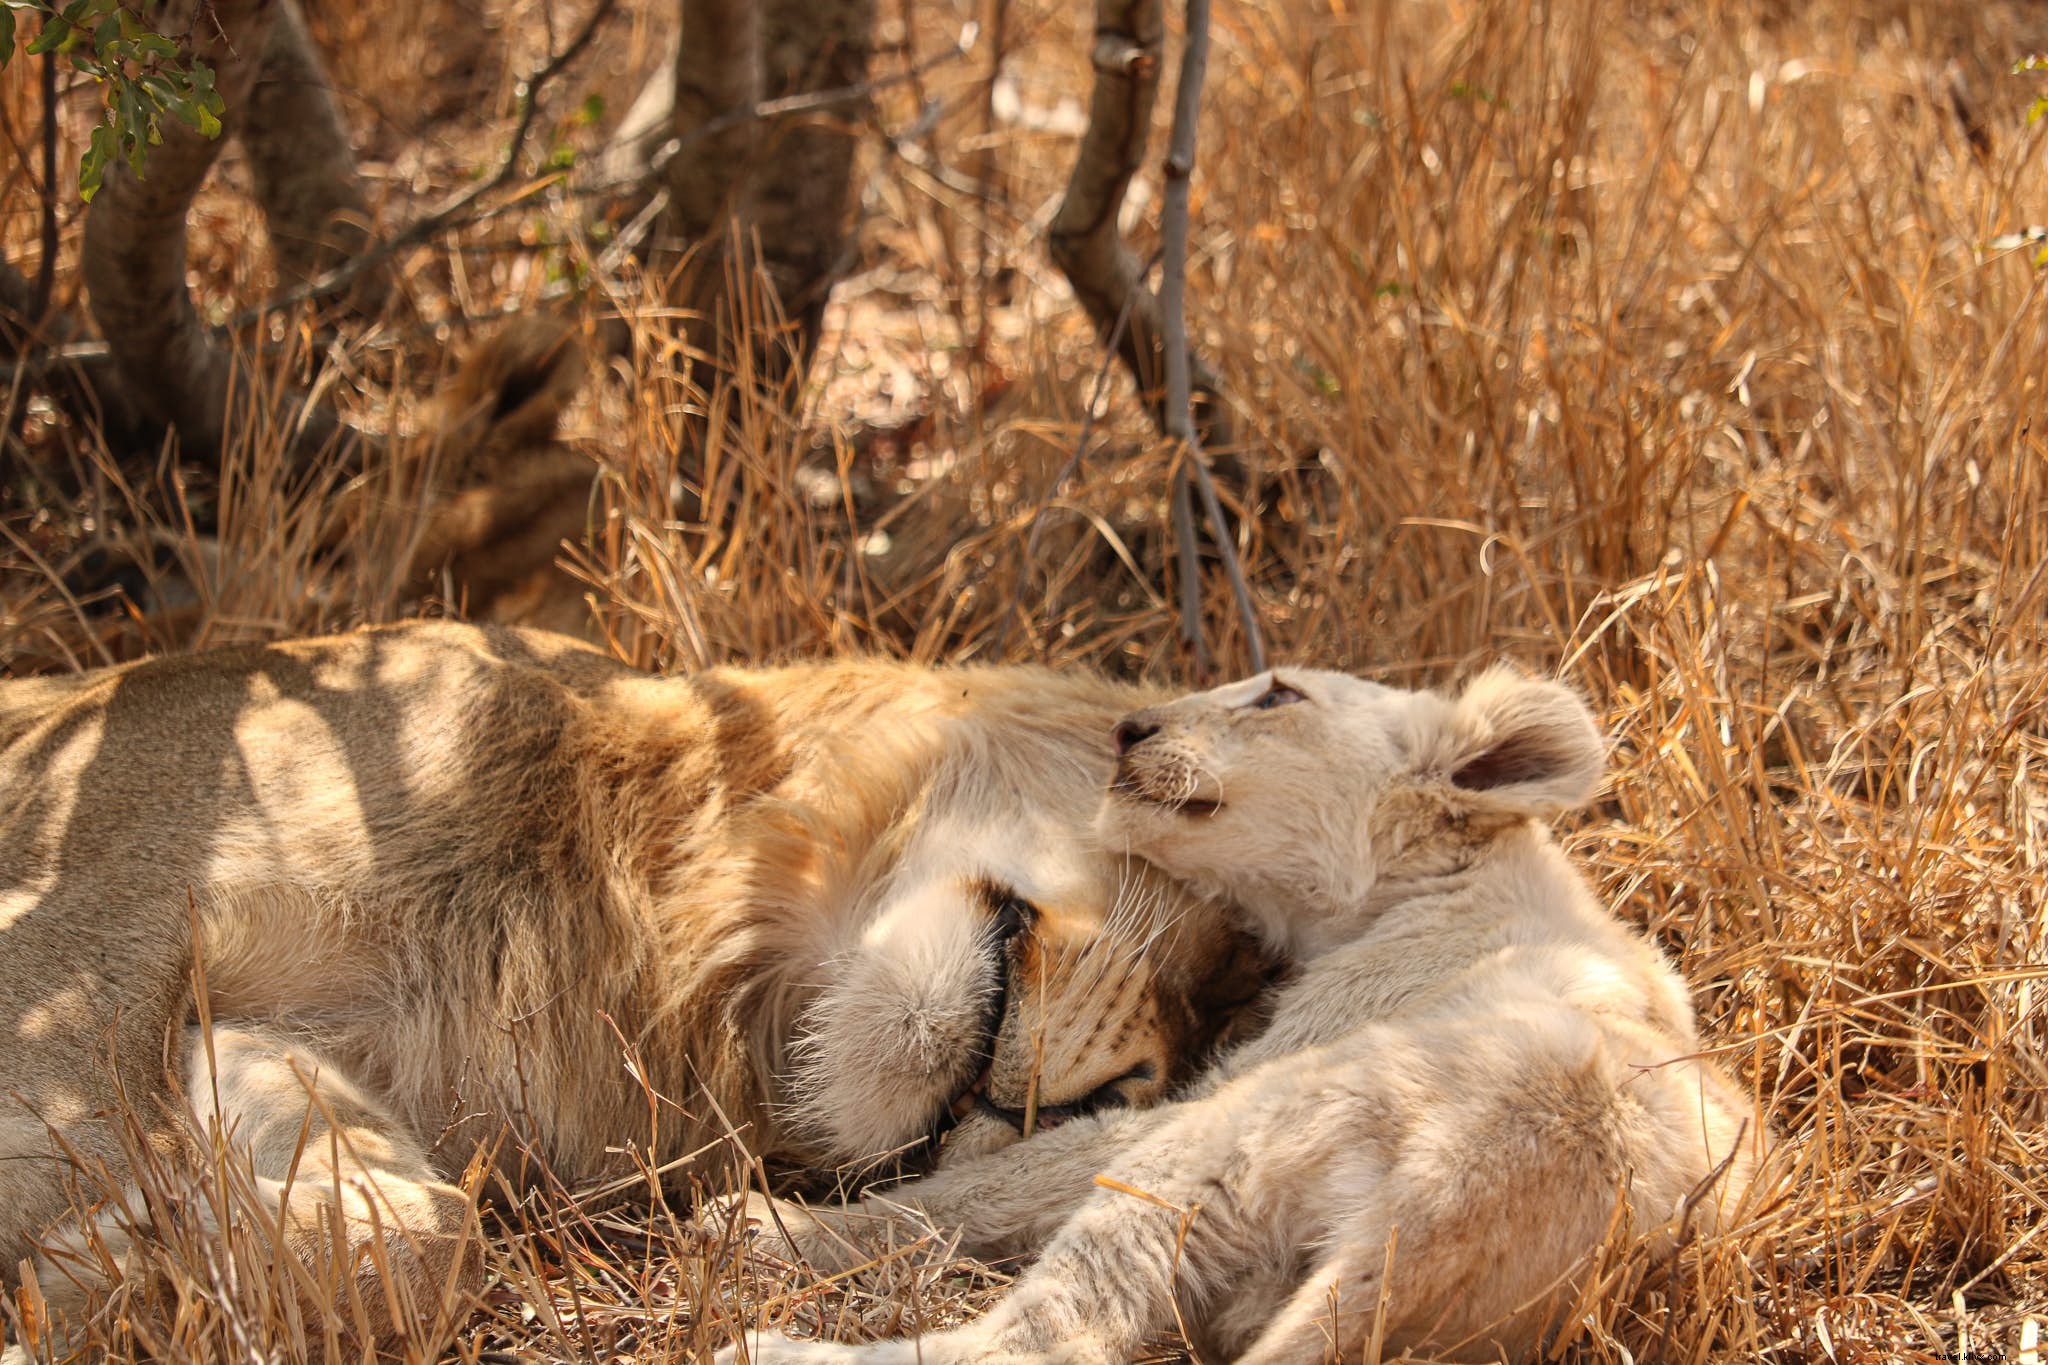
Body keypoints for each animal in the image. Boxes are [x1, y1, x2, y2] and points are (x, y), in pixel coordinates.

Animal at [0, 622, 1268, 1349]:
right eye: (1234, 937)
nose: (1119, 1093)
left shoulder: (275, 1038)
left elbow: (429, 1240)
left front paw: (126, 1265)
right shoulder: (89, 942)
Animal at [718, 667, 1768, 1364]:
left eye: (1277, 695)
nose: (1127, 728)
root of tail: (1454, 1204)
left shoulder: (1289, 1044)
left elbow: (981, 1186)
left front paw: (775, 1222)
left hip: (1228, 1145)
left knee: (1047, 1336)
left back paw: (771, 1335)